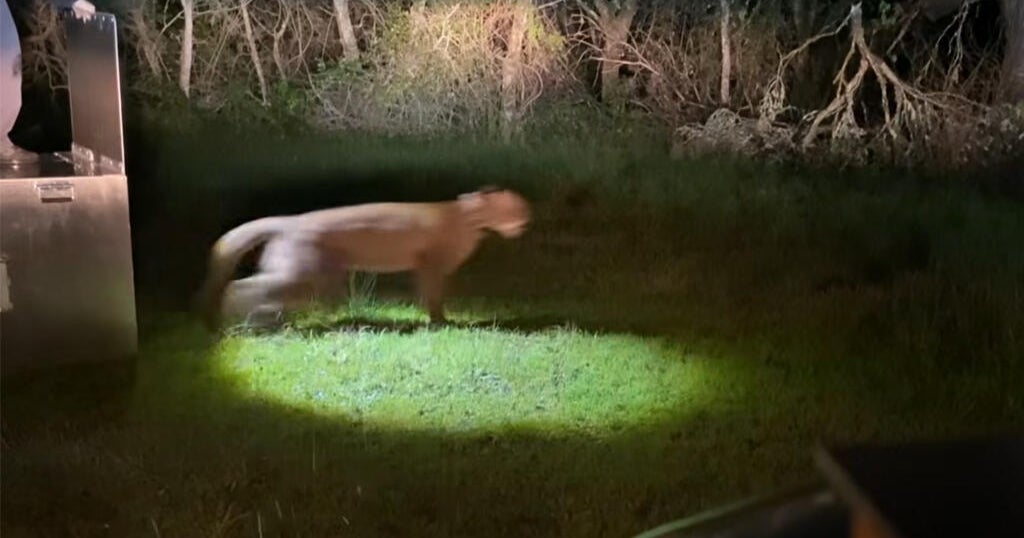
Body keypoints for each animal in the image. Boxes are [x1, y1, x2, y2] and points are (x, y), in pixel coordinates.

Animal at [197, 187, 531, 330]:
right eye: (516, 206)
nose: (529, 217)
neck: (467, 219)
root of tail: (290, 220)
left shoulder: (426, 268)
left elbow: (431, 297)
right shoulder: (430, 265)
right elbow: (434, 298)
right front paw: (441, 323)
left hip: (313, 280)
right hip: (301, 277)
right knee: (238, 287)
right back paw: (234, 322)